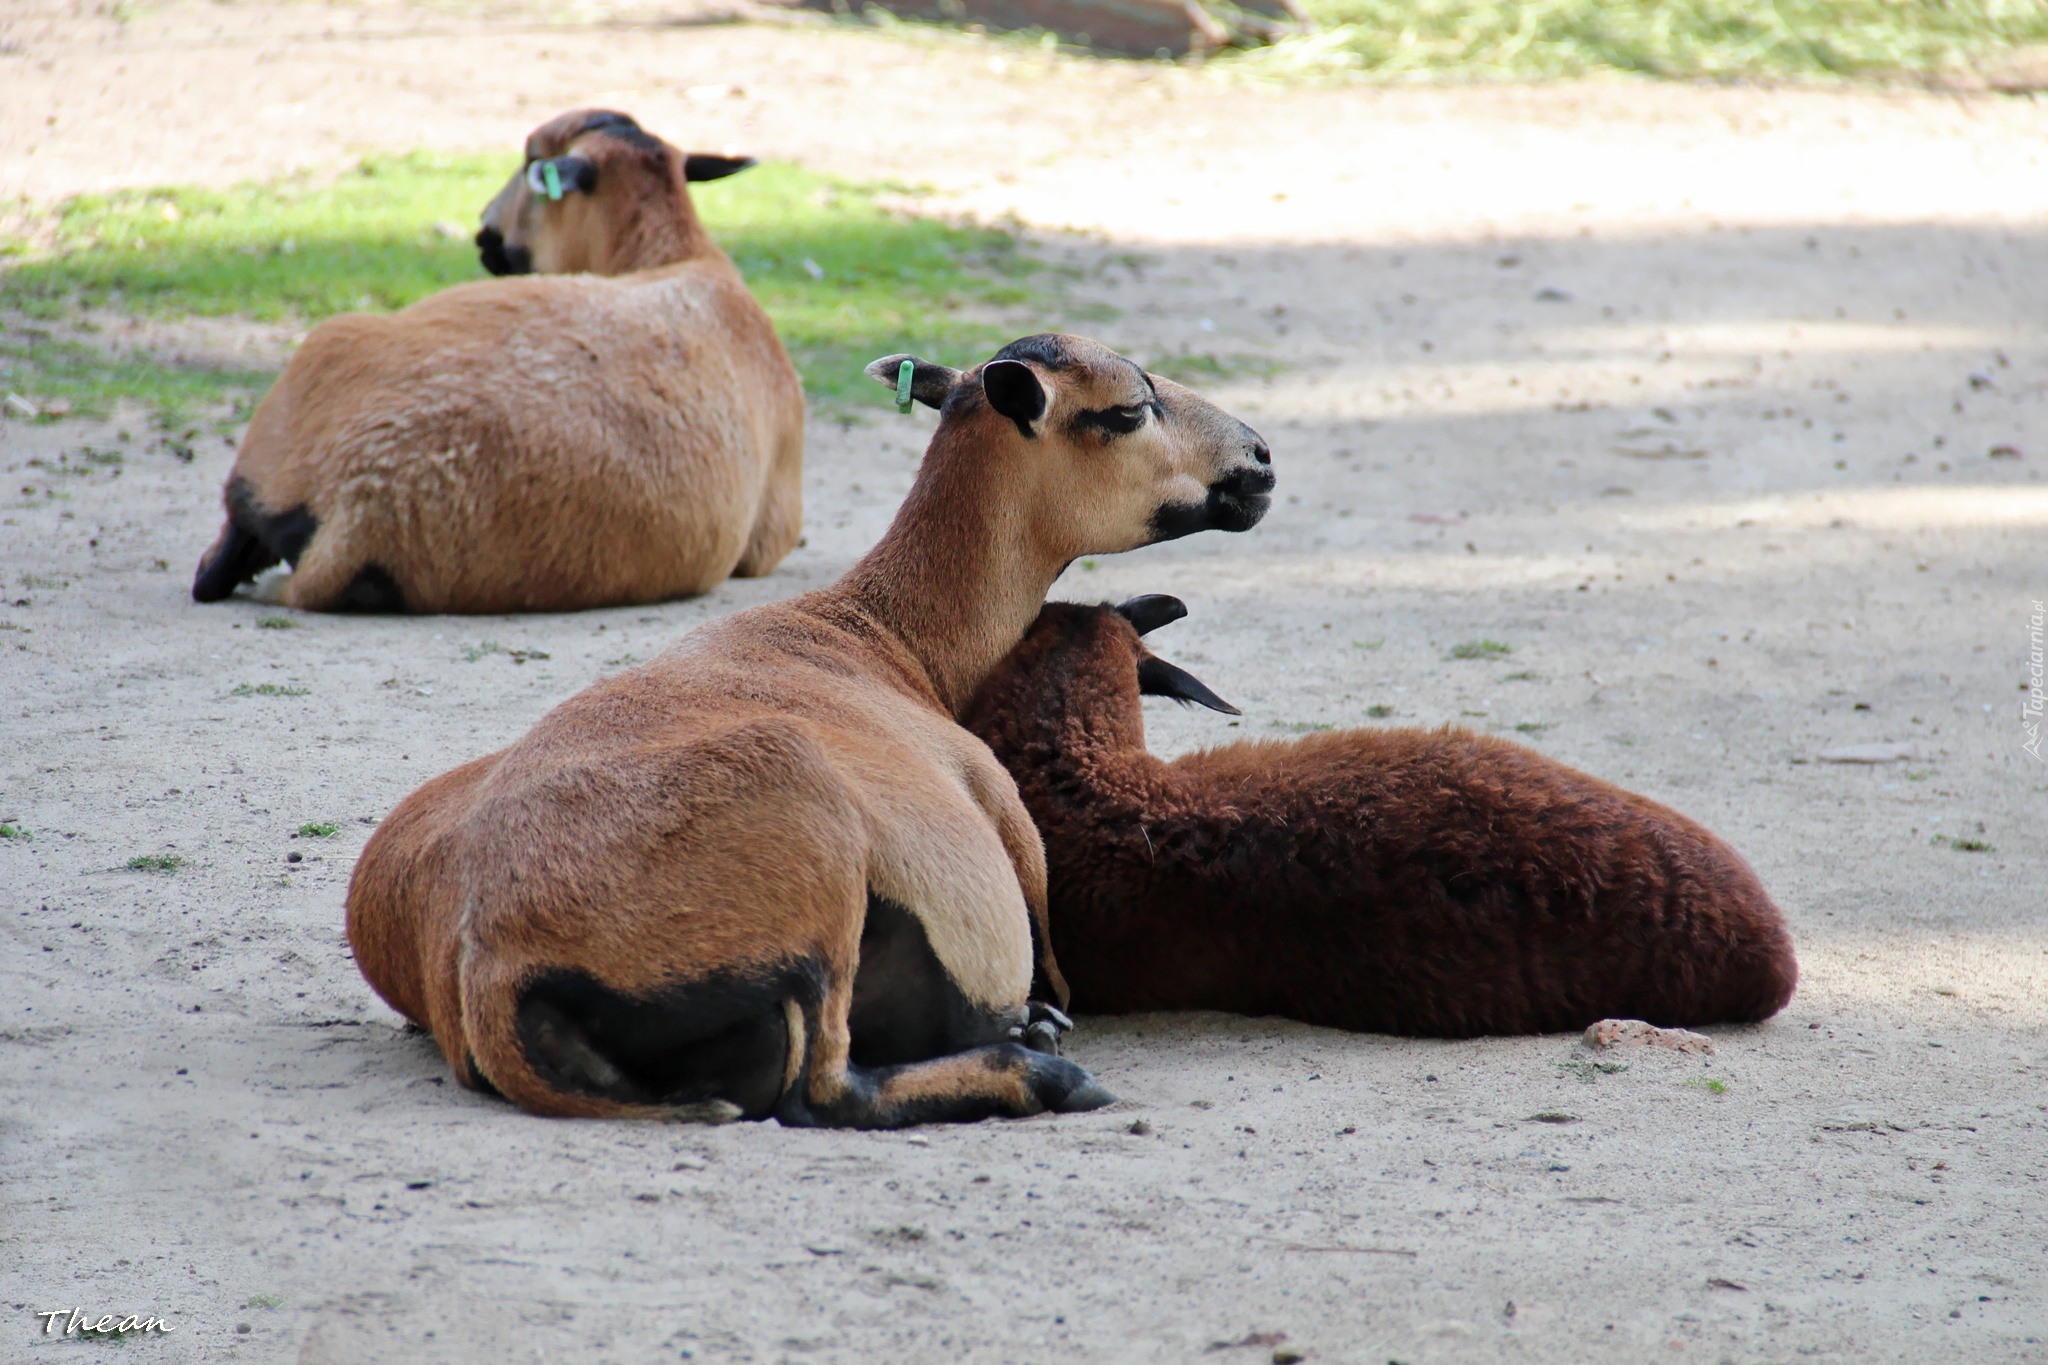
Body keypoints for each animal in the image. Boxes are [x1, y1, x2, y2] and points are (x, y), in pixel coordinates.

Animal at [190, 112, 798, 613]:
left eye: (529, 162)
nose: (483, 228)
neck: (675, 255)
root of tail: (360, 504)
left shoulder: (772, 537)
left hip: (317, 361)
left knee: (220, 566)